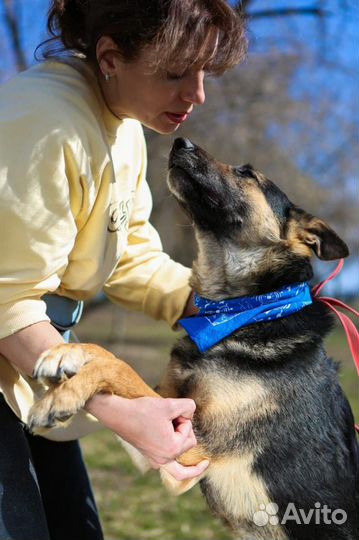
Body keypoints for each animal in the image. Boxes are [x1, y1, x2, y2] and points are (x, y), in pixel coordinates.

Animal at [30, 138, 359, 540]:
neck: (238, 311)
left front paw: (61, 396)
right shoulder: (163, 429)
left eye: (247, 173)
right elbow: (113, 360)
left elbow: (121, 367)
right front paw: (68, 352)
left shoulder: (191, 445)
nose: (179, 141)